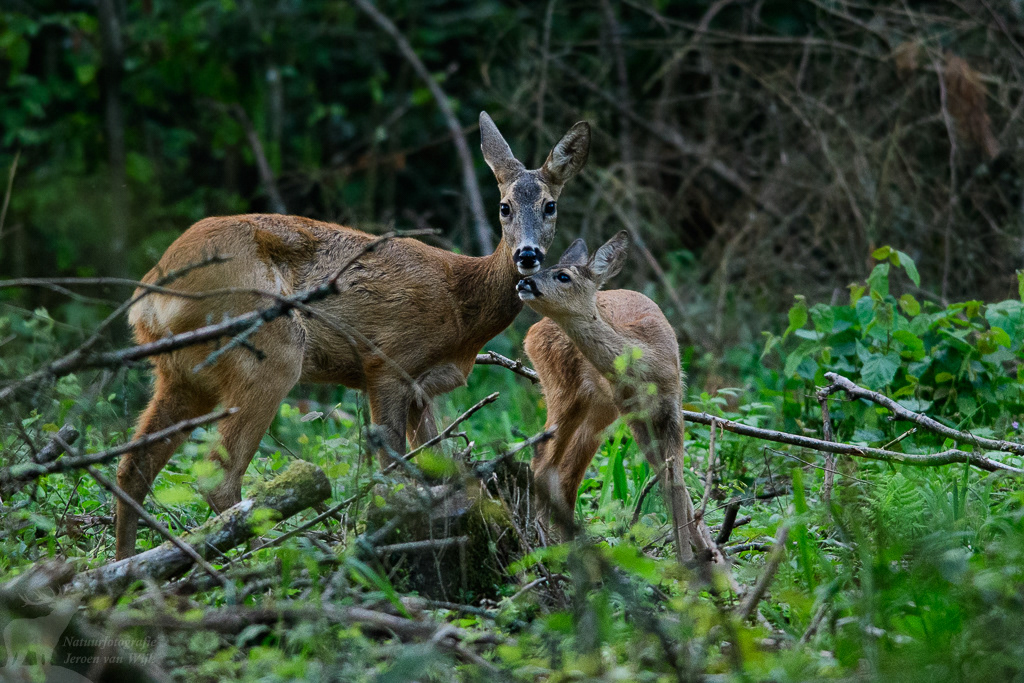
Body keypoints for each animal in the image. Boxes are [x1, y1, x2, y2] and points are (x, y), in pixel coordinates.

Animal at [115, 112, 591, 560]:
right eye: (504, 206)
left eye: (550, 206)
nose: (527, 255)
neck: (462, 306)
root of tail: (149, 294)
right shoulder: (387, 361)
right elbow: (390, 474)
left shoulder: (422, 388)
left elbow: (438, 466)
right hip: (268, 350)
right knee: (219, 478)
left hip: (183, 373)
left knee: (134, 464)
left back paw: (130, 569)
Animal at [518, 231, 720, 563]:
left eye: (563, 275)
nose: (525, 282)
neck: (646, 362)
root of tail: (531, 332)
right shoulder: (634, 414)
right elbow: (667, 482)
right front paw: (691, 559)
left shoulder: (672, 407)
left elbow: (674, 482)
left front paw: (707, 555)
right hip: (563, 390)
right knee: (543, 460)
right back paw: (545, 545)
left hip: (600, 409)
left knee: (567, 470)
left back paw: (567, 545)